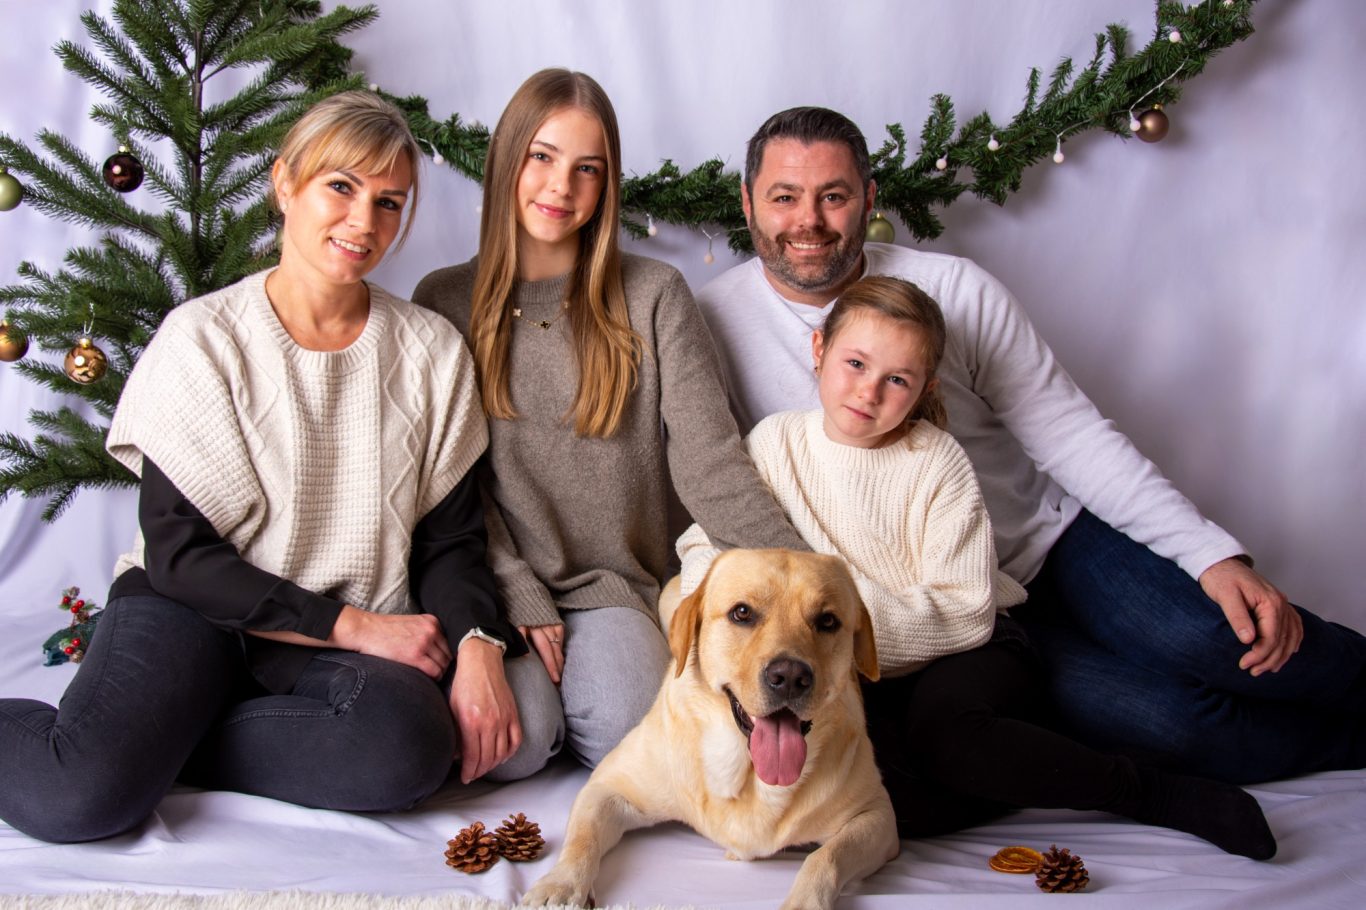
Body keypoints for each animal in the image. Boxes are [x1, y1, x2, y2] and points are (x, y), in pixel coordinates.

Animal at [521, 549, 898, 910]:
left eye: (827, 621)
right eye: (742, 613)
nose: (790, 677)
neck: (749, 775)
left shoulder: (878, 817)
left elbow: (825, 857)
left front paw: (804, 902)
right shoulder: (607, 787)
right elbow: (582, 837)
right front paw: (561, 883)